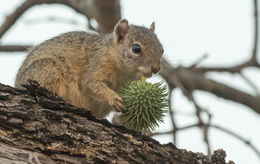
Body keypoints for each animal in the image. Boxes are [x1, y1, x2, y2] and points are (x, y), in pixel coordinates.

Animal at [15, 19, 164, 118]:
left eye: (162, 49)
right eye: (136, 48)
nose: (156, 68)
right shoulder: (96, 64)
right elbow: (91, 84)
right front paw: (112, 97)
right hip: (48, 68)